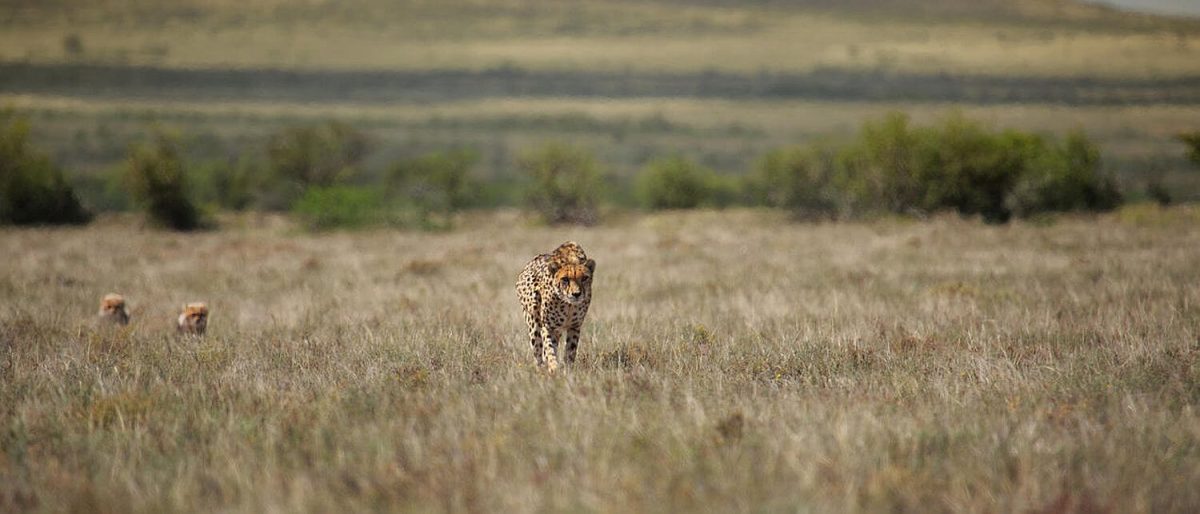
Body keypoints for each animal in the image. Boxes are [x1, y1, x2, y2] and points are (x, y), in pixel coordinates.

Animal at [516, 241, 595, 372]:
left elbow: (570, 351)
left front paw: (568, 369)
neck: (568, 305)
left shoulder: (575, 326)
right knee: (538, 350)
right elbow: (549, 349)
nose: (576, 294)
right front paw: (554, 367)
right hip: (533, 322)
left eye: (584, 278)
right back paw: (540, 368)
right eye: (565, 279)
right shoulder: (549, 327)